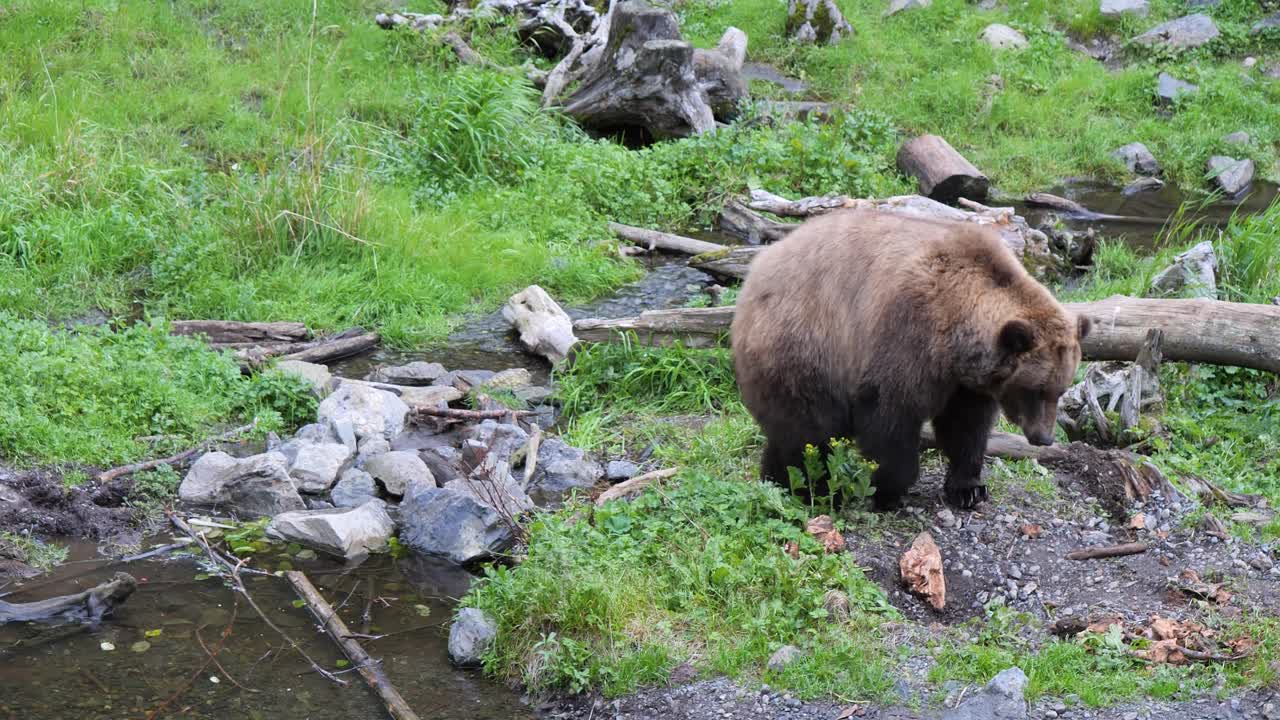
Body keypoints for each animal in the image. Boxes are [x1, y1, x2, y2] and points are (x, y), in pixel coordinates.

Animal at [730, 208, 1090, 510]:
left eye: (1060, 389)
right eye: (1035, 390)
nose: (1043, 437)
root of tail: (758, 270)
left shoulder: (966, 382)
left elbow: (966, 427)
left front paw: (969, 488)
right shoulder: (906, 334)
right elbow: (890, 416)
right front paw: (886, 490)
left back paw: (777, 478)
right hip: (805, 343)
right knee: (809, 426)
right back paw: (807, 486)